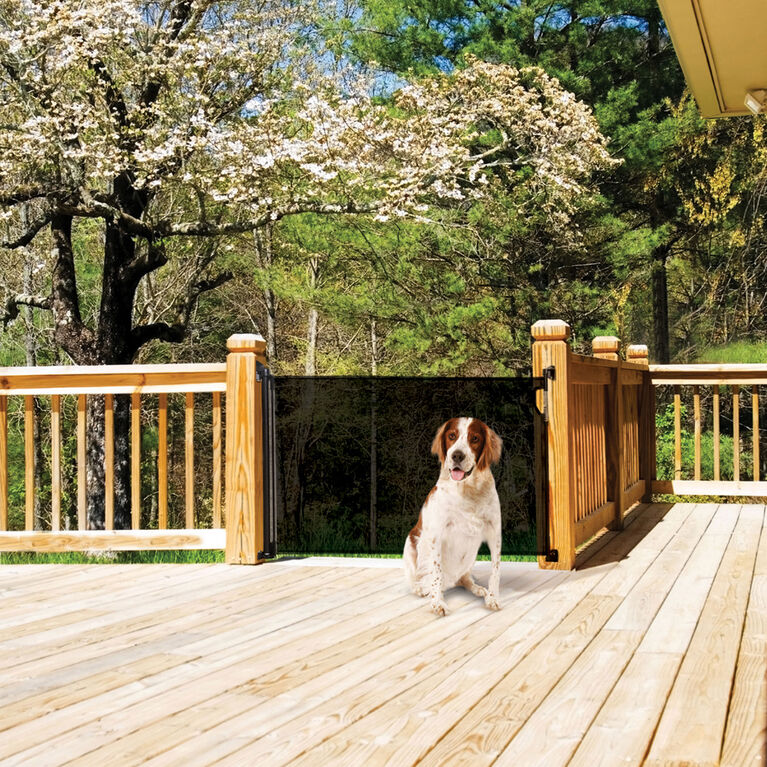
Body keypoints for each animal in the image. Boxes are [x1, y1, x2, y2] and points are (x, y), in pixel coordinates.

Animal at [402, 420, 504, 616]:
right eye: (451, 436)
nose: (457, 455)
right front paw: (438, 603)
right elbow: (436, 572)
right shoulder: (436, 535)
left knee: (464, 579)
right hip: (410, 543)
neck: (468, 490)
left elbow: (495, 570)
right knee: (417, 579)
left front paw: (493, 598)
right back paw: (421, 588)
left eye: (475, 438)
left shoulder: (495, 532)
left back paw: (478, 589)